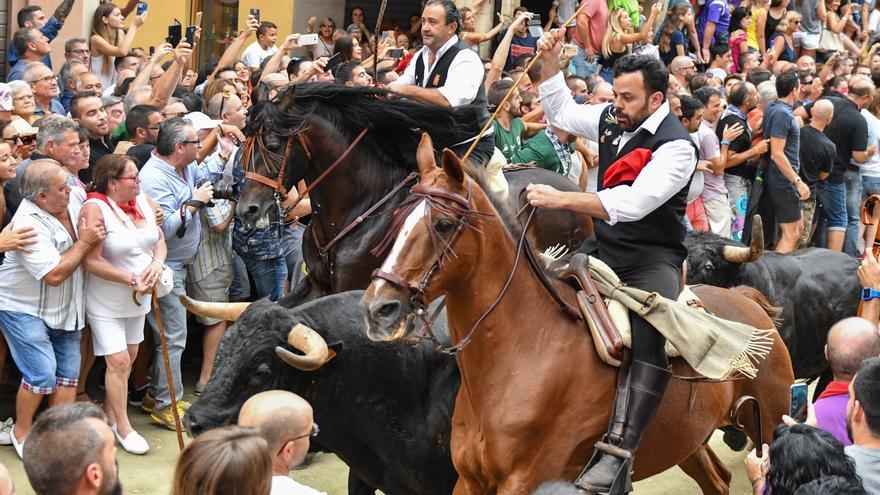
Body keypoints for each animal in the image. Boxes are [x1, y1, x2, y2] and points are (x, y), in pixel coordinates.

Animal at [235, 83, 592, 304]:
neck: (361, 207)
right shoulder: (317, 285)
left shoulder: (347, 289)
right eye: (245, 142)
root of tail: (575, 189)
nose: (246, 210)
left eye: (273, 145)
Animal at [360, 135, 796, 495]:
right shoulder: (469, 481)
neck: (524, 350)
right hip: (685, 439)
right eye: (397, 220)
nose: (378, 309)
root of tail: (748, 303)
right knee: (716, 480)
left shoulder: (522, 482)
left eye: (444, 223)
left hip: (769, 426)